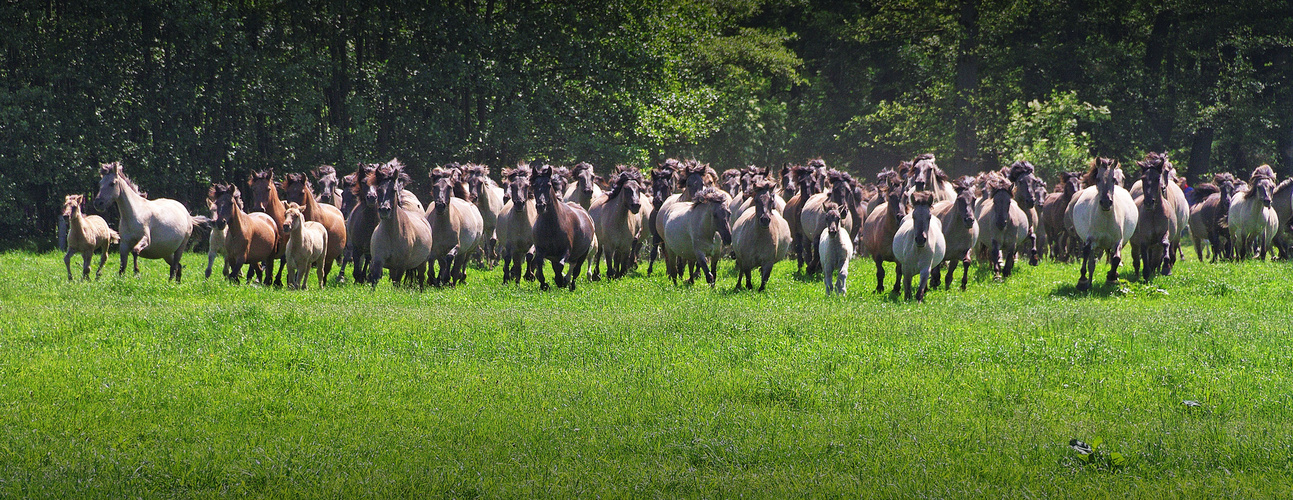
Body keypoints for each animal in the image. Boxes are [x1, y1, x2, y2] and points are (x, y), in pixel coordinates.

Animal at [530, 162, 594, 291]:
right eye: (534, 185)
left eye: (548, 184)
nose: (541, 206)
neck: (551, 226)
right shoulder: (541, 250)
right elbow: (540, 265)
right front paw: (544, 284)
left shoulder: (566, 251)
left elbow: (560, 266)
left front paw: (560, 281)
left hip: (583, 254)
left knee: (576, 271)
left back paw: (571, 285)